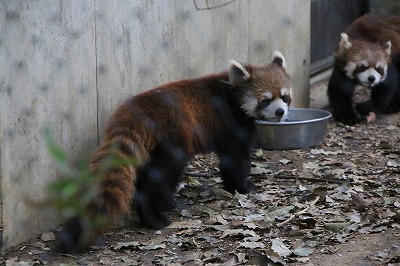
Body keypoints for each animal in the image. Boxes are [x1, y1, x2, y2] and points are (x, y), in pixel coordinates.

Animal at [57, 51, 292, 252]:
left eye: (285, 96)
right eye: (265, 100)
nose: (280, 112)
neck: (232, 95)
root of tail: (136, 111)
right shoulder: (230, 124)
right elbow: (235, 159)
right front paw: (244, 186)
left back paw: (166, 202)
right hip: (172, 137)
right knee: (161, 175)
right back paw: (154, 218)